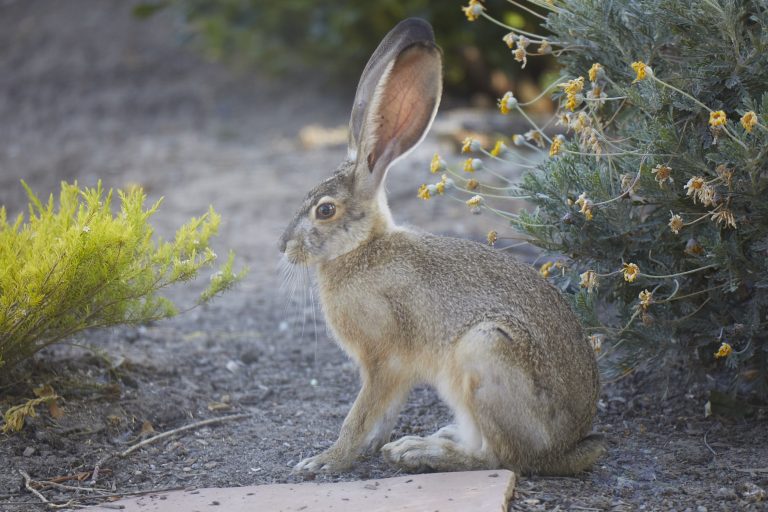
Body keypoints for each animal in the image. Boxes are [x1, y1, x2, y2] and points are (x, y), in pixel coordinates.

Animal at [279, 18, 604, 476]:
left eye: (324, 210)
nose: (283, 246)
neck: (362, 249)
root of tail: (568, 448)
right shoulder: (391, 372)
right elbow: (382, 413)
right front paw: (367, 448)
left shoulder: (385, 361)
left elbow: (359, 414)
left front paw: (325, 462)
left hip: (485, 352)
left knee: (501, 457)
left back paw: (419, 452)